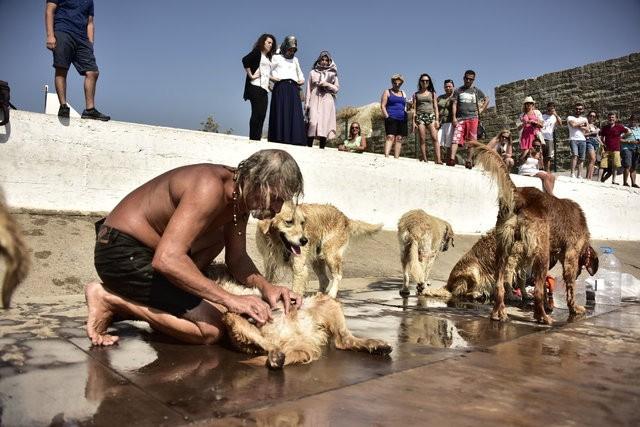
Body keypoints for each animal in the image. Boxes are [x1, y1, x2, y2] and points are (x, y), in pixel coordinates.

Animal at [256, 201, 384, 298]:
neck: (276, 242)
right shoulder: (269, 262)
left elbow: (296, 290)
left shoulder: (299, 268)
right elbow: (267, 280)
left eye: (302, 223)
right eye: (289, 222)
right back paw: (318, 296)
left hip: (330, 255)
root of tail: (344, 217)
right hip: (317, 260)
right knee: (325, 279)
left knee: (337, 275)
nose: (304, 240)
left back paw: (331, 294)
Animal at [468, 140, 596, 324]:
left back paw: (498, 313)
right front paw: (575, 308)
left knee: (499, 284)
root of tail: (520, 196)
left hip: (503, 248)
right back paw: (542, 317)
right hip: (541, 253)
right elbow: (569, 288)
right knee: (538, 291)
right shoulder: (570, 255)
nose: (580, 274)